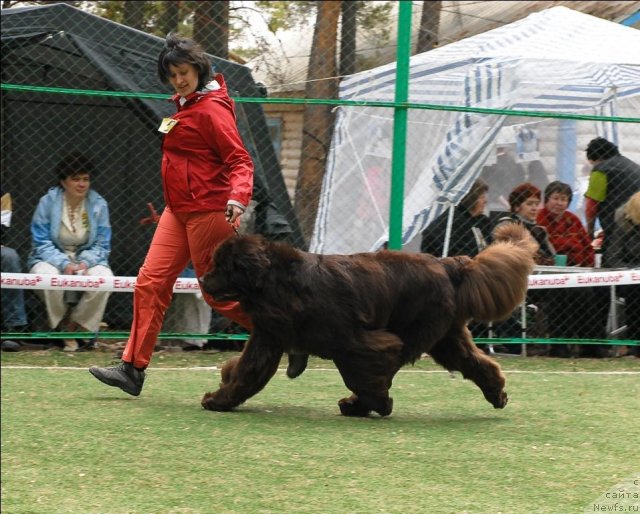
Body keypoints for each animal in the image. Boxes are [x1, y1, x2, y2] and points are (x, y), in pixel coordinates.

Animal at [200, 222, 536, 414]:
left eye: (221, 266)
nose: (202, 280)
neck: (276, 282)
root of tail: (449, 264)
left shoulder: (355, 342)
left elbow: (360, 374)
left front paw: (378, 404)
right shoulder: (268, 338)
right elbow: (246, 372)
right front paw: (220, 399)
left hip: (416, 330)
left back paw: (359, 405)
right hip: (445, 338)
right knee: (476, 363)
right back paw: (497, 394)